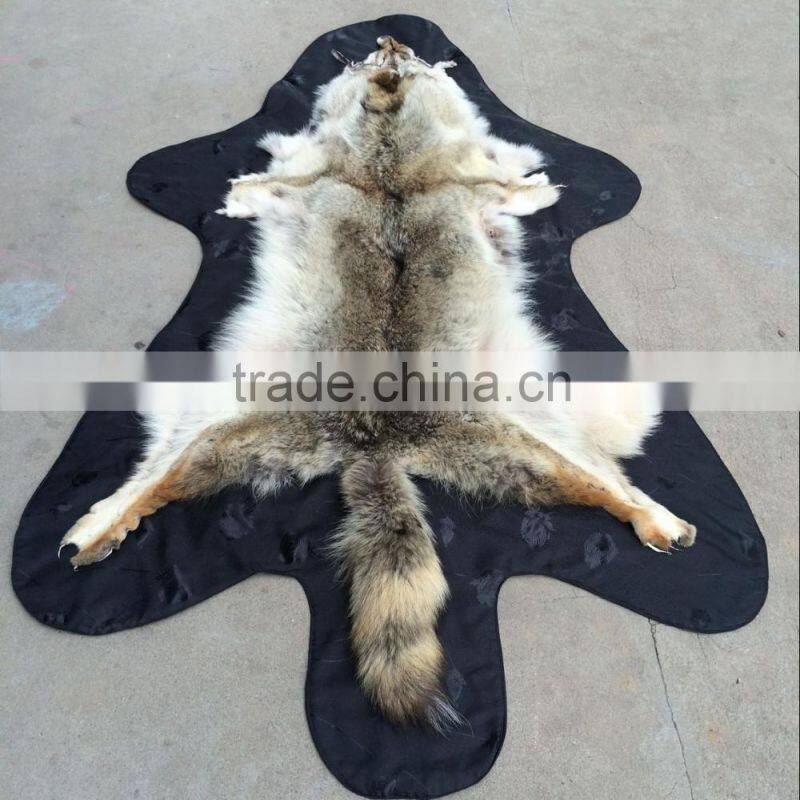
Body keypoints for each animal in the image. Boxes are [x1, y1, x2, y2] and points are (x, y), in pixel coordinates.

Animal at [59, 36, 696, 730]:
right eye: (382, 56)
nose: (393, 39)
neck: (387, 145)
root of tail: (377, 445)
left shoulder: (448, 177)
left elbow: (502, 184)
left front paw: (536, 184)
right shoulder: (326, 176)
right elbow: (272, 181)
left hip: (532, 442)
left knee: (610, 484)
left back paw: (655, 517)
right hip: (220, 432)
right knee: (150, 483)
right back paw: (101, 525)